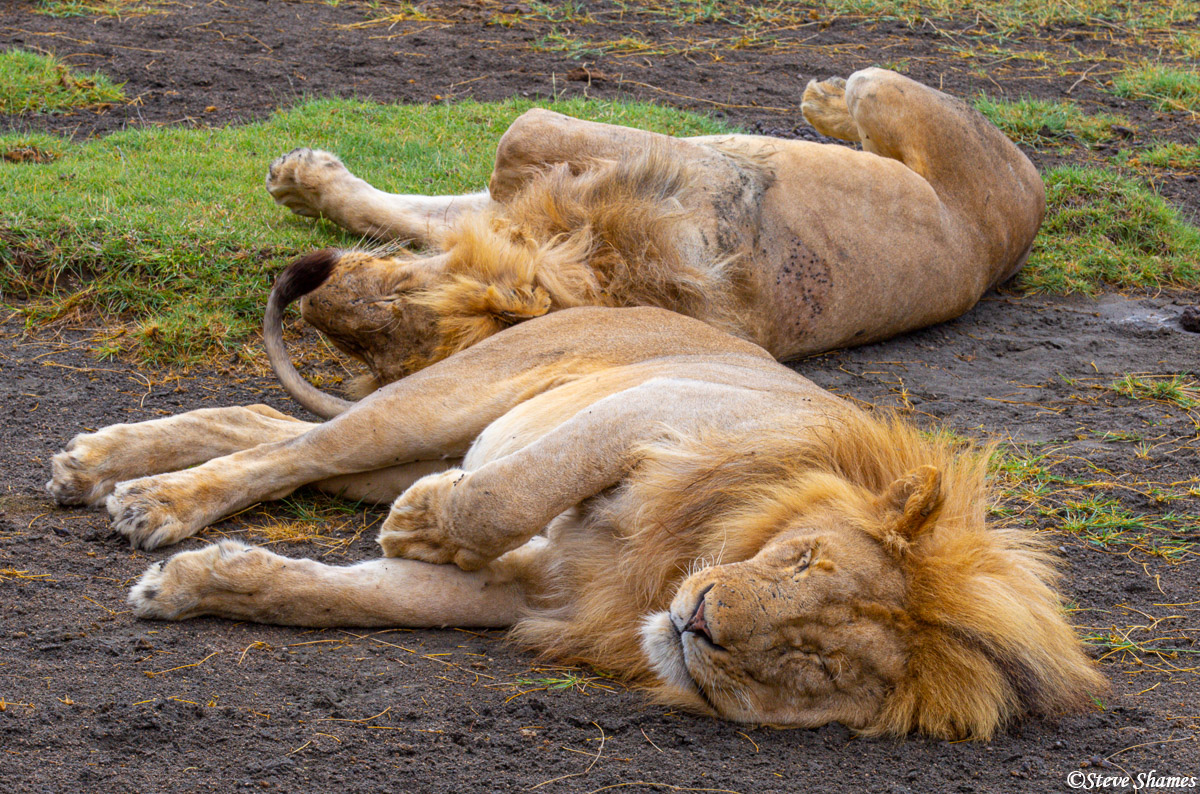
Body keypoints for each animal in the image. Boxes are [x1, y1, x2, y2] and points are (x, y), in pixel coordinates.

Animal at [46, 307, 1099, 743]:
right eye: (801, 561)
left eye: (818, 661)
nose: (700, 623)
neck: (668, 572)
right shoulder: (658, 410)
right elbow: (513, 490)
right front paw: (422, 523)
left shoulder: (519, 592)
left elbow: (329, 595)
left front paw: (195, 586)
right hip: (444, 404)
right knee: (300, 446)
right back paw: (142, 494)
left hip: (398, 446)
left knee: (270, 429)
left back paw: (109, 470)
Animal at [260, 67, 1041, 419]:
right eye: (357, 354)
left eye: (388, 306)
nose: (309, 297)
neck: (600, 267)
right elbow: (435, 213)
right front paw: (305, 182)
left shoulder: (670, 165)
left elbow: (511, 145)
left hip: (885, 90)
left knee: (862, 91)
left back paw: (821, 99)